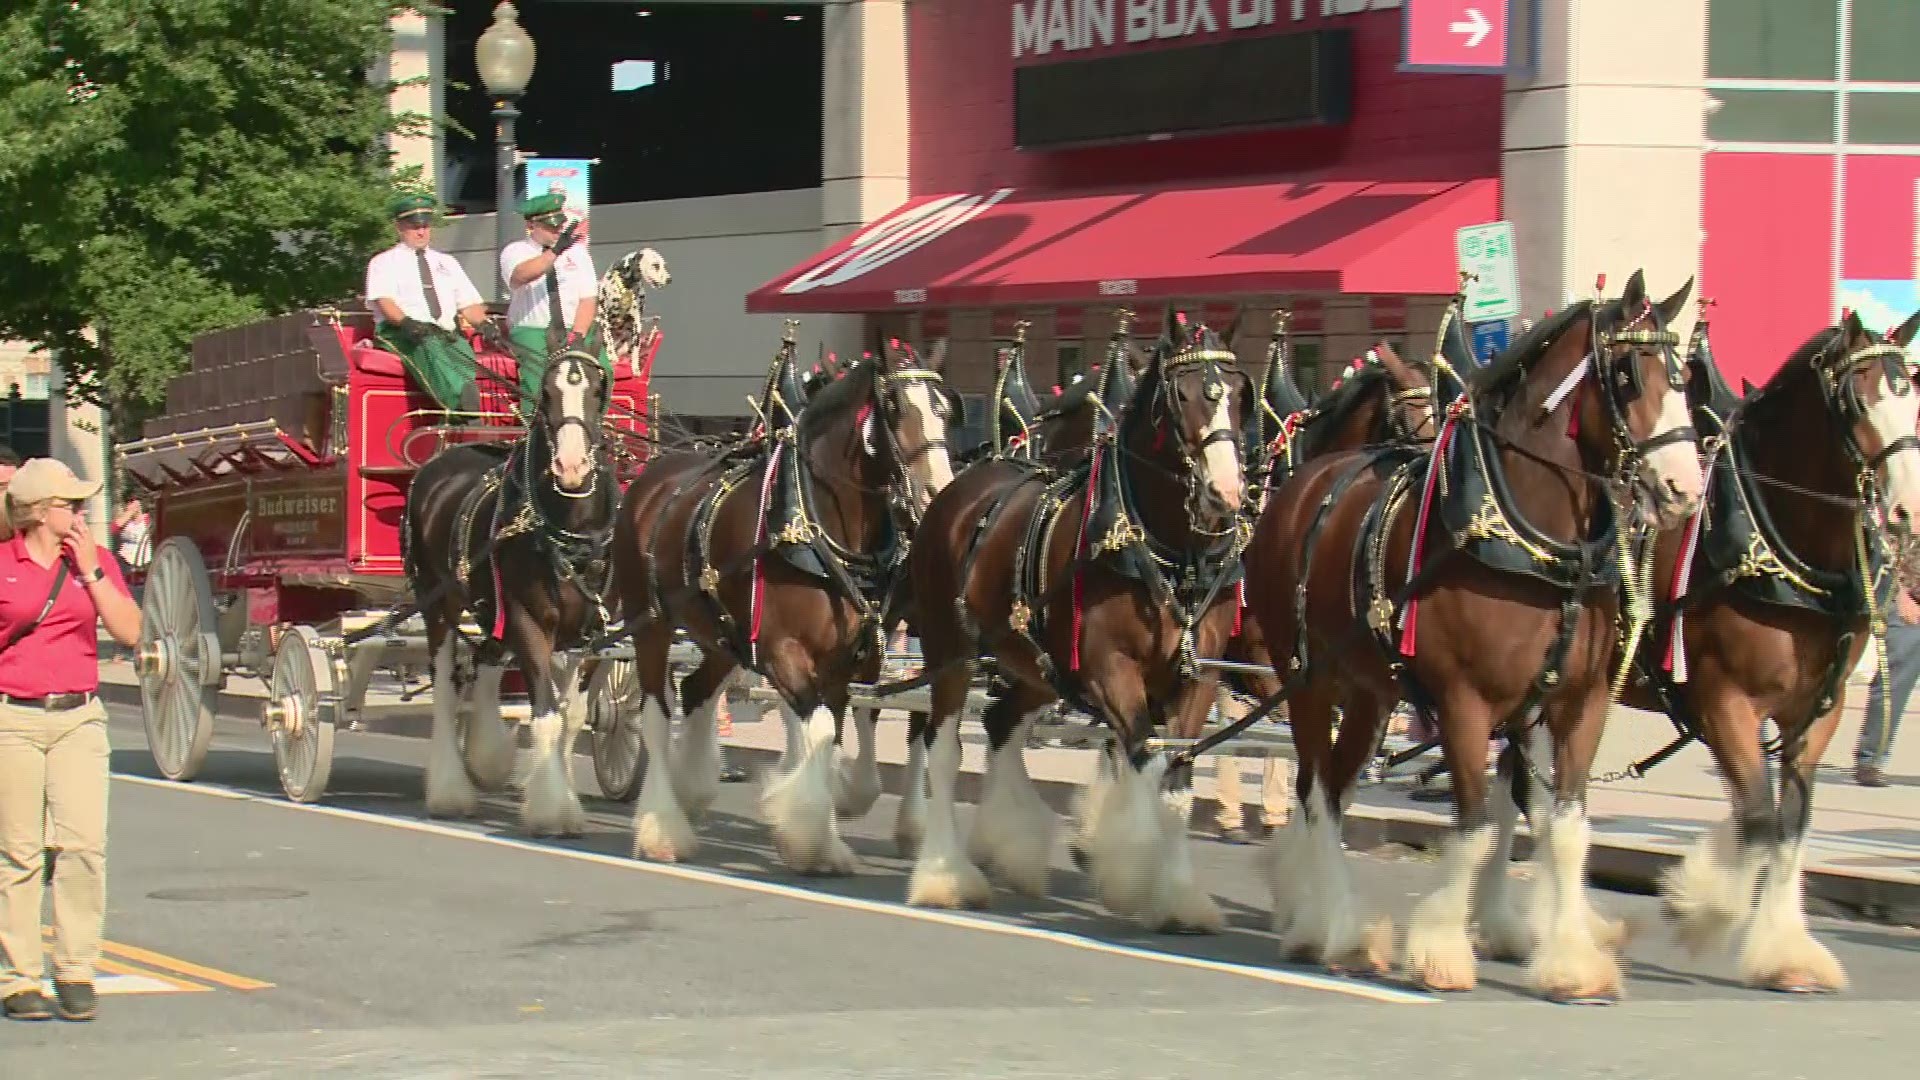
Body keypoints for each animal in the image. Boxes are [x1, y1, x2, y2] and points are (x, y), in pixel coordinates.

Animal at [1244, 270, 1712, 999]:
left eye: (1683, 375)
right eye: (1629, 374)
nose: (1684, 487)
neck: (1533, 539)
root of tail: (1302, 484)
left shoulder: (1576, 705)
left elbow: (1562, 828)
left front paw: (1571, 961)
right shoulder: (1465, 703)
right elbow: (1474, 827)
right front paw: (1442, 950)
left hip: (1370, 694)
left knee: (1337, 788)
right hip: (1308, 680)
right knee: (1316, 791)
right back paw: (1332, 925)